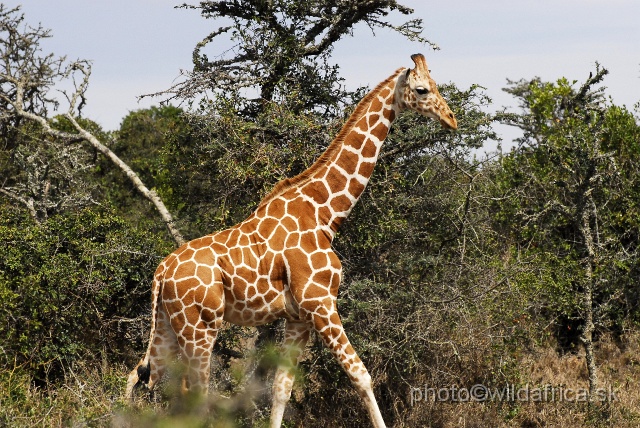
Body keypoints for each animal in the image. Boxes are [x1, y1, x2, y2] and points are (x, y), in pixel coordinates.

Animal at [125, 54, 456, 428]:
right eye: (422, 89)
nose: (451, 118)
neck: (325, 213)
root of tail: (160, 272)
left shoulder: (298, 316)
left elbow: (281, 388)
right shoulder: (320, 301)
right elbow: (360, 374)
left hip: (169, 325)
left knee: (140, 376)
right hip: (201, 327)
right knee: (191, 392)